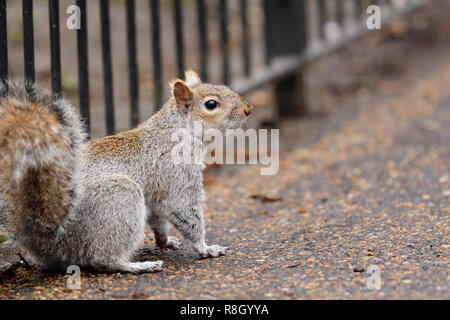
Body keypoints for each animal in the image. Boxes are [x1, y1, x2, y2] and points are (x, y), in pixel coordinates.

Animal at [0, 71, 253, 274]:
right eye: (211, 104)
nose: (248, 110)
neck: (176, 131)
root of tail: (48, 244)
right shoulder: (176, 175)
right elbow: (185, 212)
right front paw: (206, 248)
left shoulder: (156, 194)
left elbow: (159, 219)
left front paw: (165, 241)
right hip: (121, 199)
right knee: (103, 259)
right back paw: (138, 266)